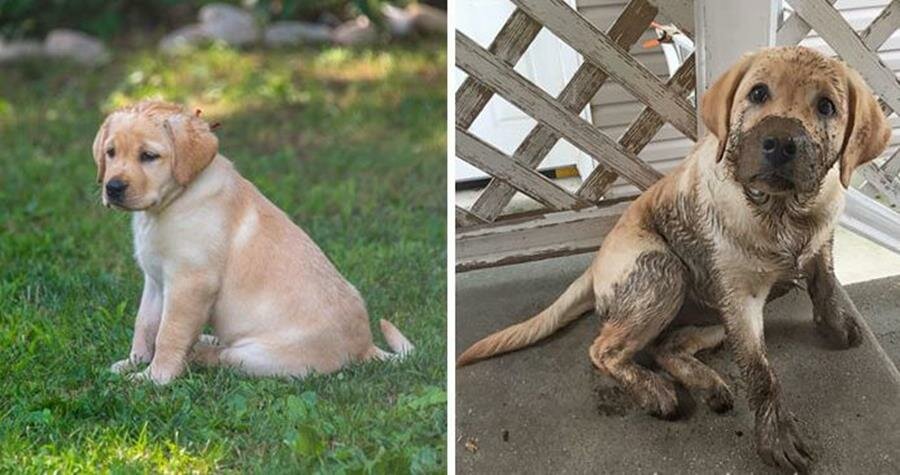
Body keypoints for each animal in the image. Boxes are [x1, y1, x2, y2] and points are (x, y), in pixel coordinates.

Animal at [93, 100, 414, 386]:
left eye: (148, 156)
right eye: (111, 152)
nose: (113, 187)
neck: (170, 204)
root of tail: (365, 345)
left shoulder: (190, 283)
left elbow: (169, 332)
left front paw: (154, 377)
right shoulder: (156, 280)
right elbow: (145, 323)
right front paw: (133, 361)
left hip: (258, 356)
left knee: (223, 356)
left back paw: (198, 352)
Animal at [458, 46, 892, 474]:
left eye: (826, 106)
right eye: (757, 94)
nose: (781, 143)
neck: (783, 213)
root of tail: (594, 266)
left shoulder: (820, 245)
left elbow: (825, 285)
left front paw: (835, 326)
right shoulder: (742, 298)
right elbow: (760, 372)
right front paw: (777, 436)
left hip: (723, 308)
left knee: (667, 346)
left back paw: (707, 383)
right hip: (664, 273)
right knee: (604, 349)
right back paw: (655, 390)